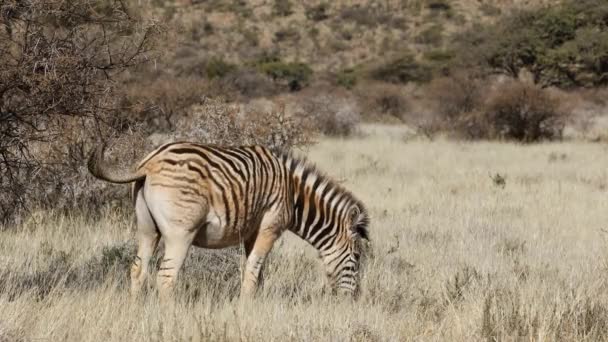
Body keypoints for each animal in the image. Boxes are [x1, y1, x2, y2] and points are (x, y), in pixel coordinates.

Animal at [87, 141, 368, 296]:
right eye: (356, 258)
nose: (352, 299)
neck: (293, 194)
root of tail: (149, 162)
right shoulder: (270, 227)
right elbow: (253, 271)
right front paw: (247, 312)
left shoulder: (252, 232)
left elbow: (256, 274)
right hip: (180, 233)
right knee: (166, 278)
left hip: (147, 228)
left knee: (138, 270)